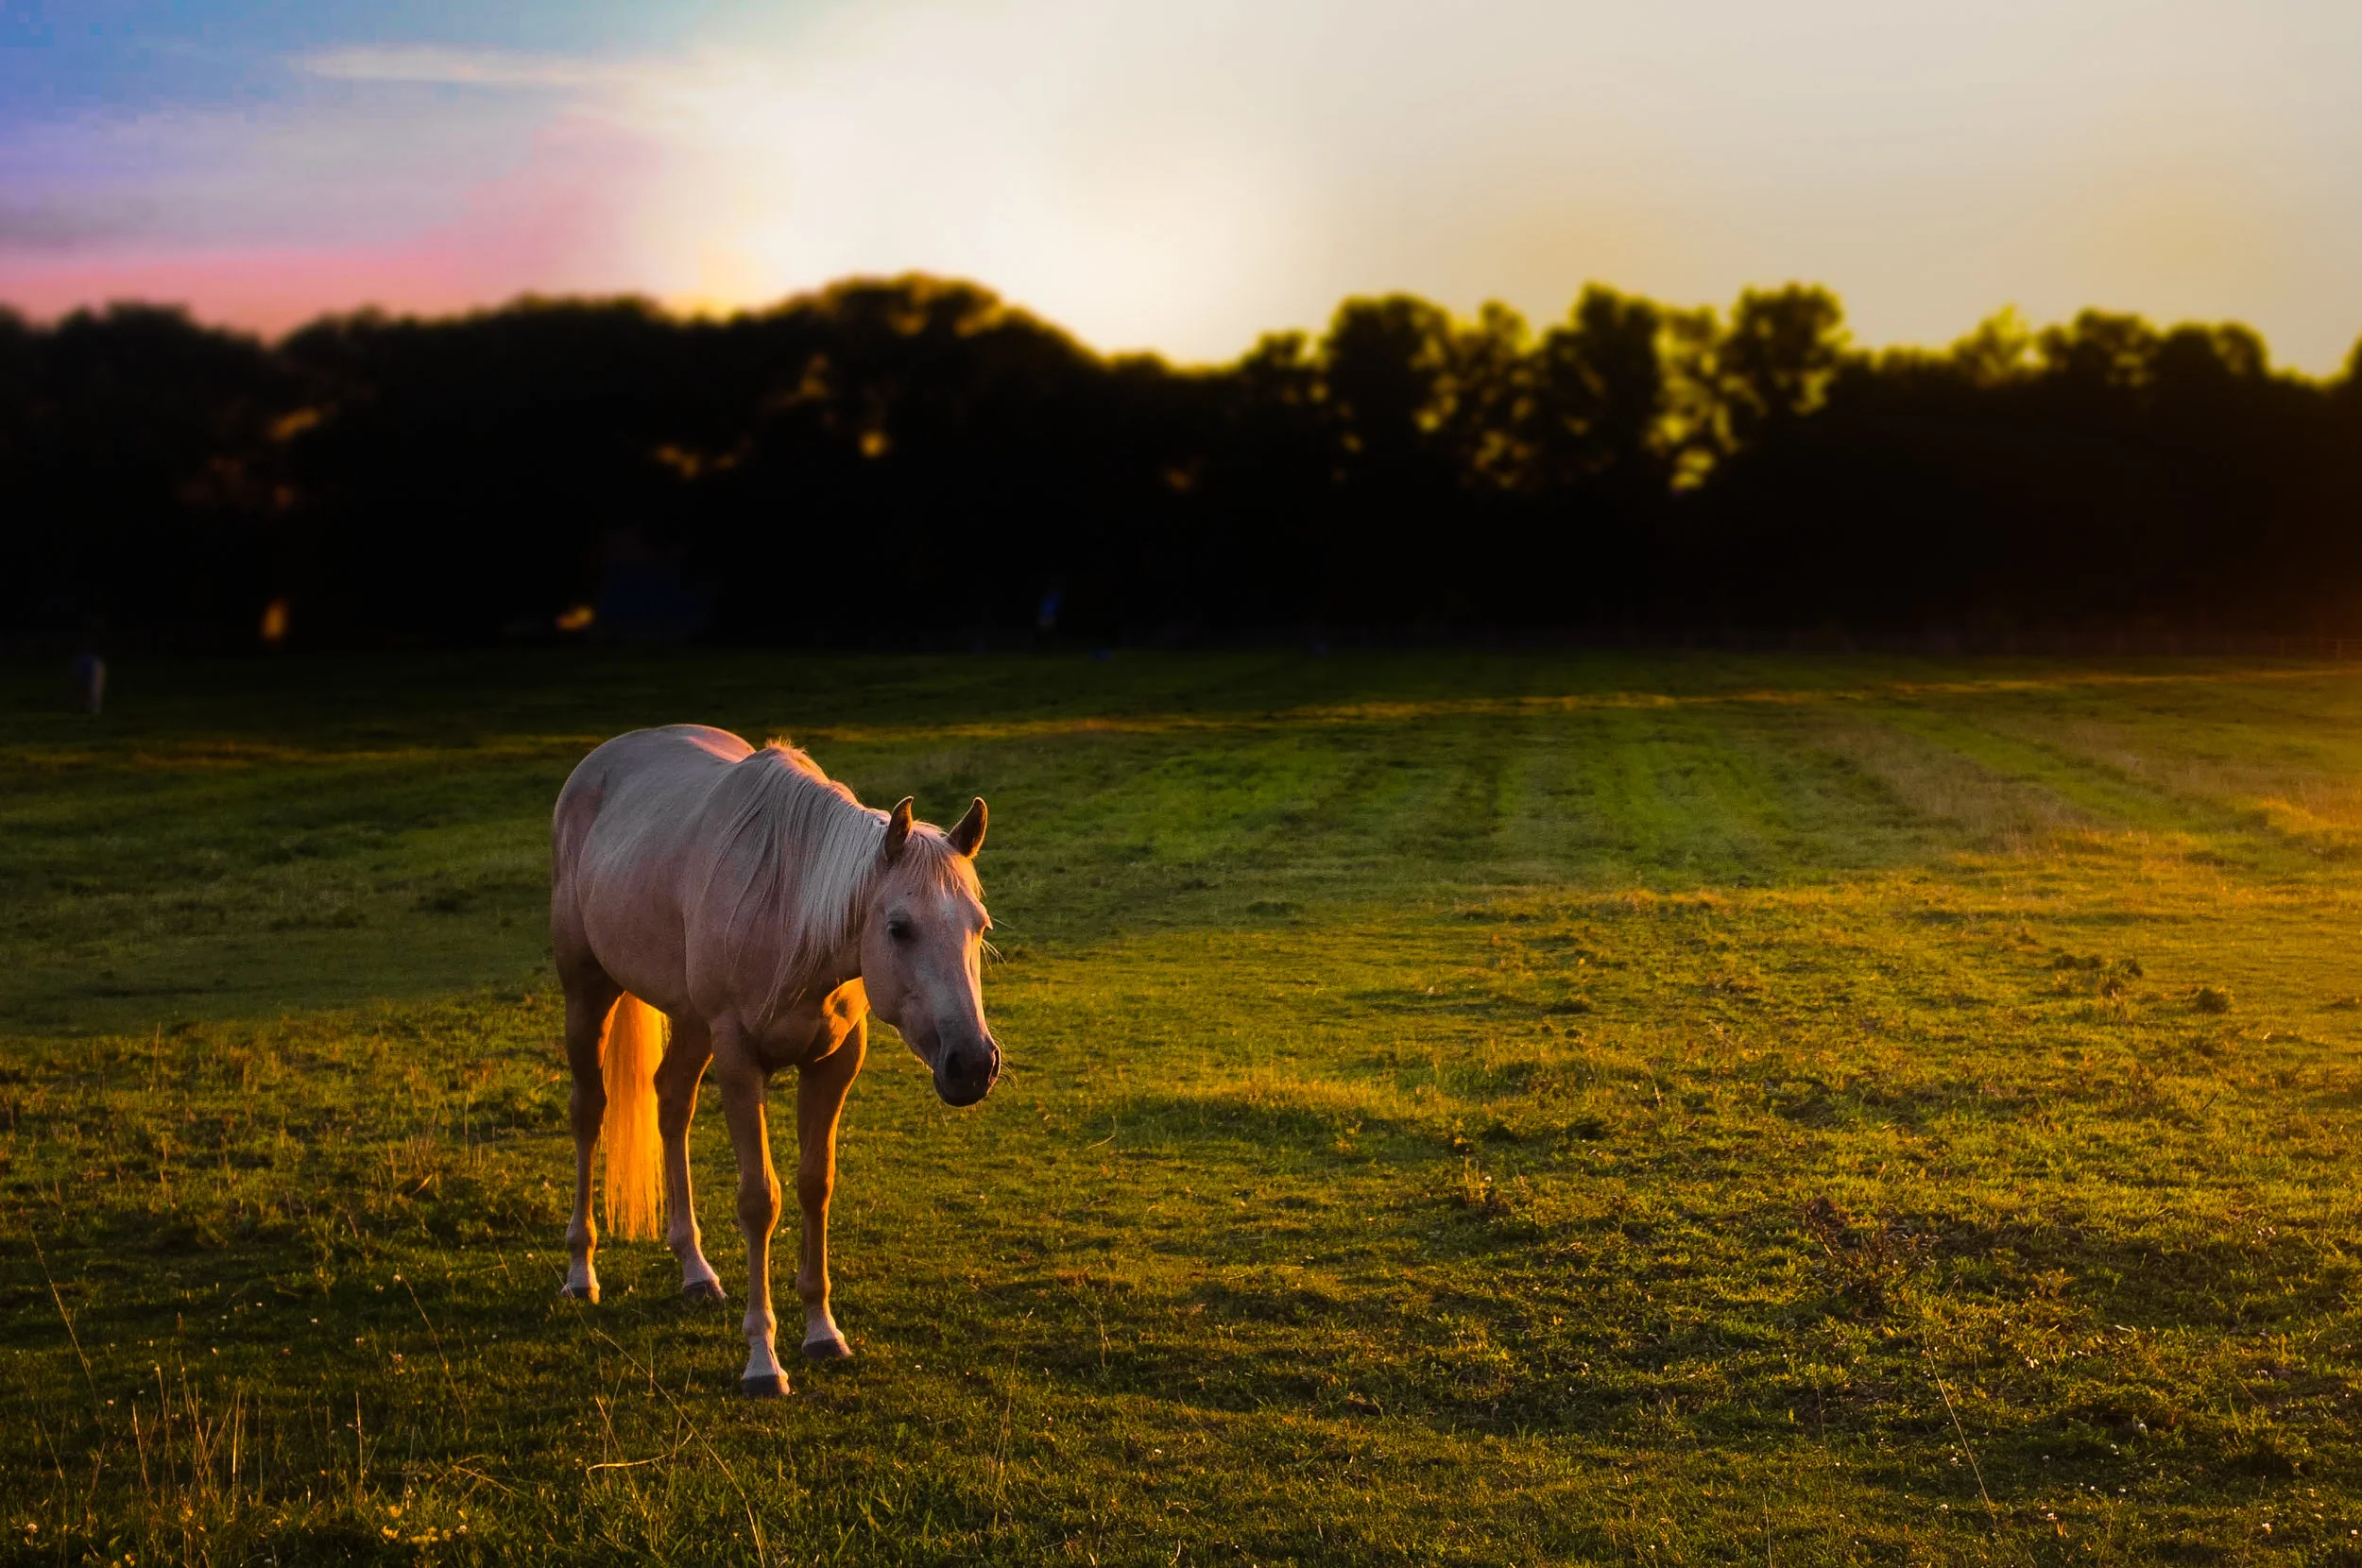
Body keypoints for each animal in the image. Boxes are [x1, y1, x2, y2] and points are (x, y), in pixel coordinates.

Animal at [549, 725, 997, 1396]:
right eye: (898, 927)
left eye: (979, 926)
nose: (972, 1064)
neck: (788, 906)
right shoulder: (738, 1060)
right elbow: (760, 1200)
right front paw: (763, 1360)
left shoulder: (834, 1063)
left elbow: (816, 1184)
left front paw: (822, 1331)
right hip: (587, 990)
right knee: (589, 1112)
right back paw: (581, 1270)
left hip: (689, 1022)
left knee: (671, 1103)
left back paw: (696, 1270)